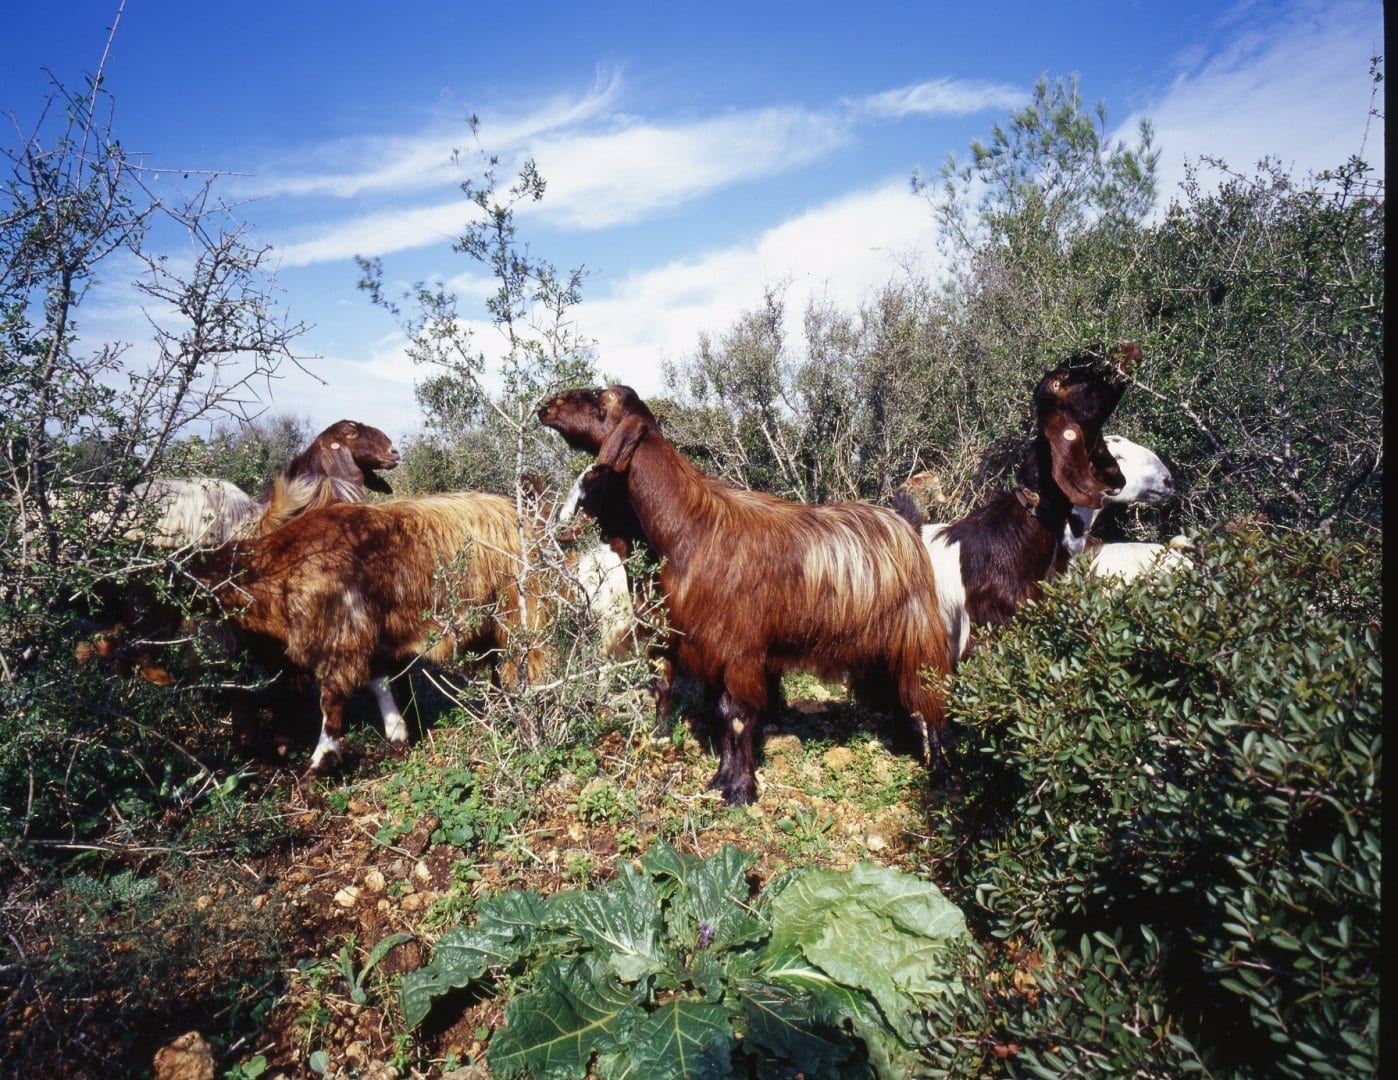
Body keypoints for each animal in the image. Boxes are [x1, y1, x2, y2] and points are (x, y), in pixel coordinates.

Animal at [194, 491, 542, 771]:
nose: (275, 747)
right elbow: (379, 684)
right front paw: (398, 736)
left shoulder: (343, 635)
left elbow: (332, 696)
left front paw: (321, 761)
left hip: (520, 615)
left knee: (527, 668)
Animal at [539, 385, 956, 799]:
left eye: (603, 398)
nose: (547, 406)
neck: (687, 527)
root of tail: (908, 525)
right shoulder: (699, 647)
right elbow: (714, 713)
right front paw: (722, 777)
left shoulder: (738, 651)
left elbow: (735, 715)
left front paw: (739, 788)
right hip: (879, 647)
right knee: (898, 694)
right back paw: (902, 742)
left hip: (917, 636)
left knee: (930, 697)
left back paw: (940, 774)